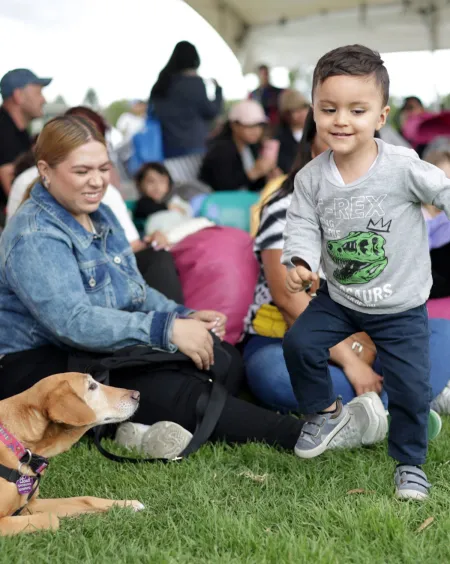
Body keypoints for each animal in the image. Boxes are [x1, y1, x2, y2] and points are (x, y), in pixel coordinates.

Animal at [0, 372, 143, 536]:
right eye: (92, 386)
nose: (137, 395)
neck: (19, 446)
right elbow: (52, 518)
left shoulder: (30, 504)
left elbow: (85, 498)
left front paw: (126, 504)